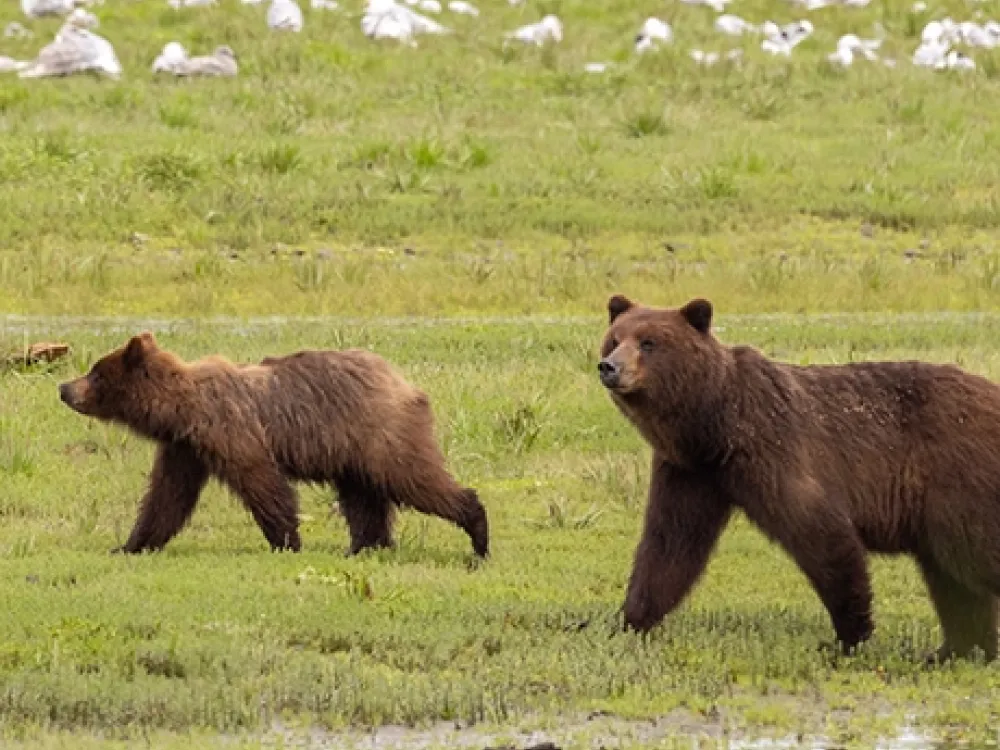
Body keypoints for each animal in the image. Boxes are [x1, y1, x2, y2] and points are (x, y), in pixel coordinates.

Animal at [58, 332, 489, 559]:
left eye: (95, 372)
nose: (64, 388)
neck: (181, 410)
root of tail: (404, 381)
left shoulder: (229, 431)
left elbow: (262, 482)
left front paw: (286, 541)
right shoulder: (185, 448)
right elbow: (167, 498)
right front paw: (131, 544)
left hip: (380, 434)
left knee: (414, 478)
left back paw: (478, 534)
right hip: (351, 453)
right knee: (363, 499)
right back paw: (366, 546)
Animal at [598, 294, 1000, 662]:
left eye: (649, 343)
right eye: (615, 338)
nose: (609, 367)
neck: (713, 424)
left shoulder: (772, 448)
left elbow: (818, 529)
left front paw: (848, 637)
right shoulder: (691, 472)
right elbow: (670, 545)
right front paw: (628, 622)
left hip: (956, 478)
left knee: (971, 557)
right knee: (952, 578)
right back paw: (957, 649)